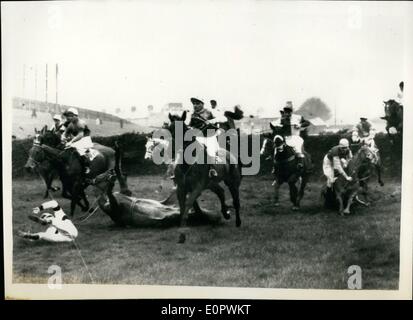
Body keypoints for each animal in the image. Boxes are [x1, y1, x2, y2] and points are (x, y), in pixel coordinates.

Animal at [164, 111, 241, 244]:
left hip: (232, 182)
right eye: (169, 128)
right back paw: (225, 213)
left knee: (235, 200)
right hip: (211, 183)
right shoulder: (181, 189)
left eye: (182, 129)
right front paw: (181, 234)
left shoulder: (197, 187)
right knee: (220, 191)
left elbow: (188, 205)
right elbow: (182, 209)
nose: (170, 151)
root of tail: (229, 154)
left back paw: (238, 222)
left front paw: (182, 234)